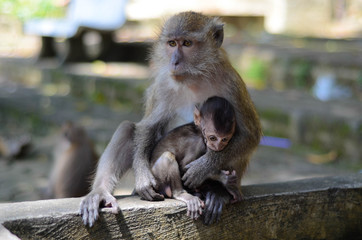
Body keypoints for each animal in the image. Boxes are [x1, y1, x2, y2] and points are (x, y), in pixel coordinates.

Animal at [80, 11, 260, 227]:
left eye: (187, 43)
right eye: (172, 43)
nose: (174, 61)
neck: (195, 78)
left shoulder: (231, 84)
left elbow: (250, 135)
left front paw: (202, 168)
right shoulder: (164, 85)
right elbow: (148, 127)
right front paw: (143, 177)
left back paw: (220, 192)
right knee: (127, 129)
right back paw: (100, 192)